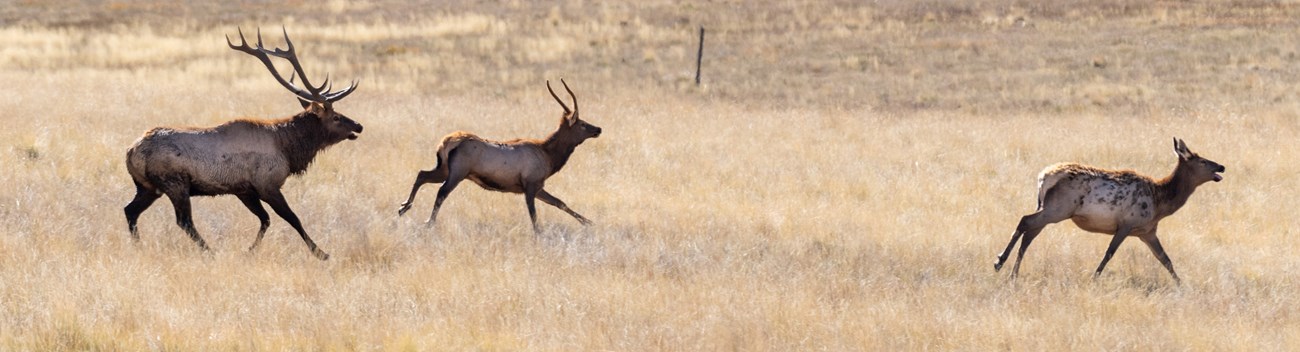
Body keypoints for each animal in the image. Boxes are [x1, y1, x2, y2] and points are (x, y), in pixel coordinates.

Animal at [122, 27, 361, 261]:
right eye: (336, 117)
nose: (358, 126)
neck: (287, 148)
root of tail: (131, 152)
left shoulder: (244, 190)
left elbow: (265, 219)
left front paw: (250, 250)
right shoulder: (267, 184)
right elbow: (292, 218)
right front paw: (321, 253)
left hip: (148, 186)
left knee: (130, 210)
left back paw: (139, 246)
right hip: (174, 183)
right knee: (184, 221)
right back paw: (210, 252)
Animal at [397, 79, 600, 231]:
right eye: (582, 123)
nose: (598, 129)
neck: (548, 156)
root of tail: (446, 142)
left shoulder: (537, 186)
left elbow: (559, 202)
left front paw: (590, 222)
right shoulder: (530, 184)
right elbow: (534, 216)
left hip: (444, 169)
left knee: (422, 174)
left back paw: (404, 207)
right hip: (458, 172)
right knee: (441, 192)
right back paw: (428, 221)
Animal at [987, 137, 1222, 284]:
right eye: (1202, 161)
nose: (1221, 166)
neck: (1160, 202)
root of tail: (1043, 177)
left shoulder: (1147, 231)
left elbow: (1166, 259)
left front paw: (1181, 285)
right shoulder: (1127, 223)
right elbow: (1109, 253)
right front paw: (1093, 278)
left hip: (1047, 207)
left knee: (1030, 233)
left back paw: (1012, 273)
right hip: (1058, 208)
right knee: (1025, 221)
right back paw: (999, 262)